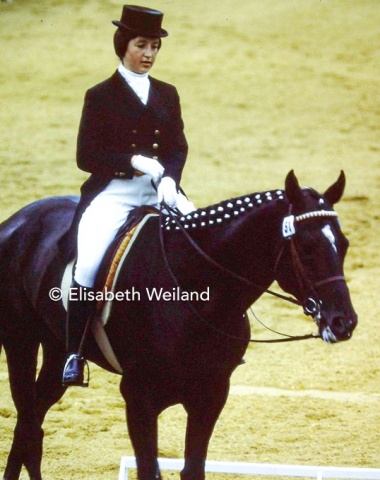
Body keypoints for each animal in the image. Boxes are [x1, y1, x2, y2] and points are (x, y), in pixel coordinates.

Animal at [0, 172, 356, 480]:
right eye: (307, 248)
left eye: (344, 244)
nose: (344, 322)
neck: (197, 290)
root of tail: (16, 221)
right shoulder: (139, 397)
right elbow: (150, 470)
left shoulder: (210, 395)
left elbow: (193, 469)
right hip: (20, 342)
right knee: (28, 425)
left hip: (57, 351)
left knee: (30, 424)